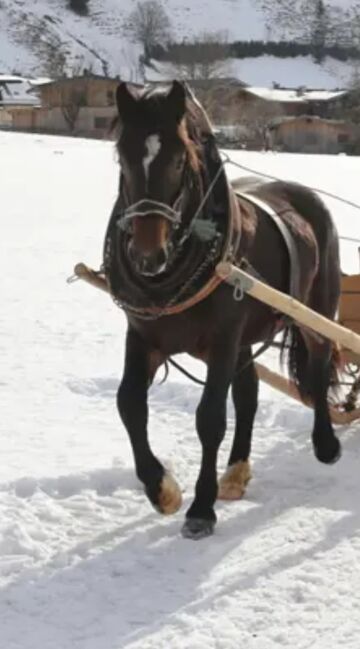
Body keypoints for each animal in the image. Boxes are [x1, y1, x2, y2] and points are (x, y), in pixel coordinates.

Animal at [103, 79, 340, 536]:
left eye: (180, 159)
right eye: (121, 155)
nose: (147, 256)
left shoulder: (222, 339)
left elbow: (210, 417)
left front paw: (200, 508)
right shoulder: (143, 335)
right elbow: (128, 404)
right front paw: (161, 489)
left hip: (315, 308)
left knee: (320, 363)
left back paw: (326, 443)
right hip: (245, 337)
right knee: (248, 393)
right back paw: (236, 471)